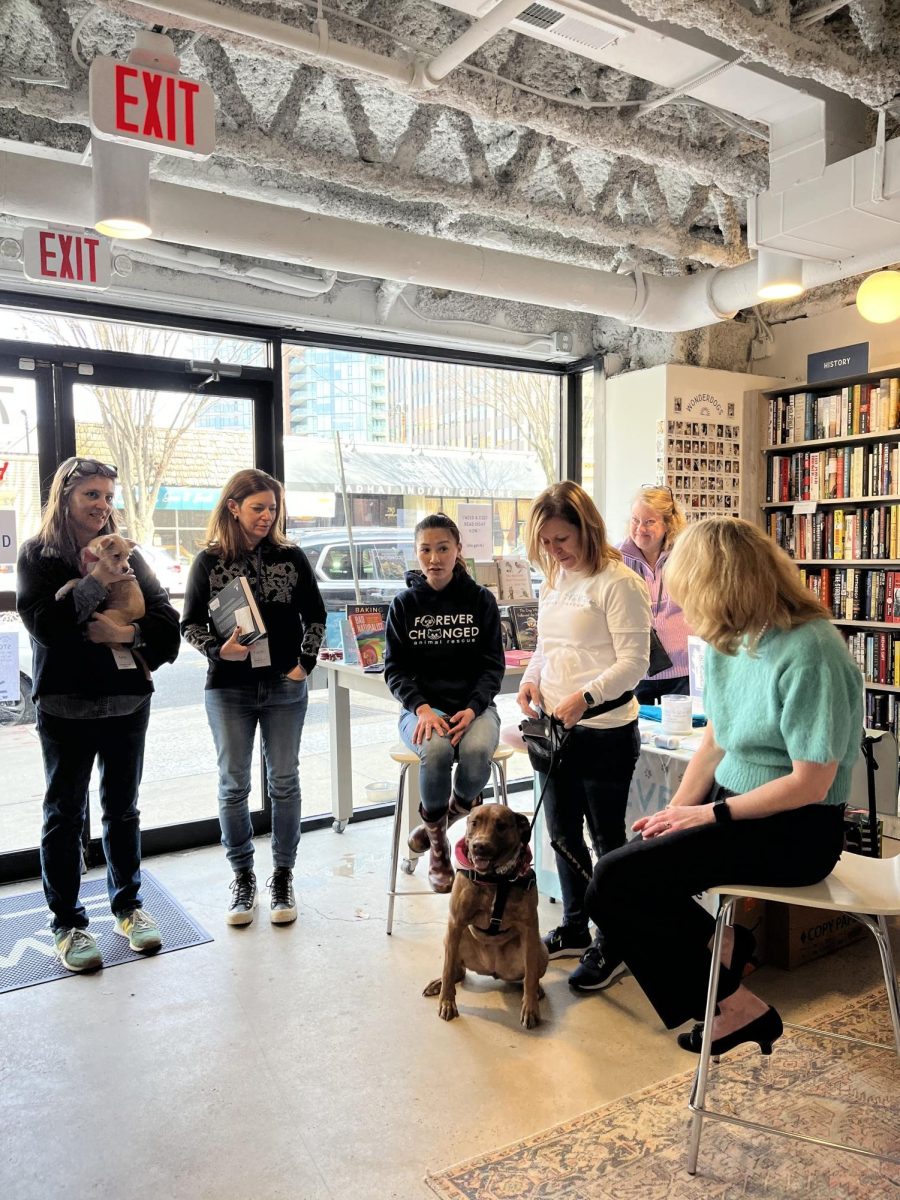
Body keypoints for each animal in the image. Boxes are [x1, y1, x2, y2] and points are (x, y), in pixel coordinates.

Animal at [424, 801, 549, 1027]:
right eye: (474, 822)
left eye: (501, 826)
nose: (479, 846)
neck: (495, 879)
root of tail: (492, 969)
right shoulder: (456, 922)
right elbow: (447, 969)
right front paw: (447, 1002)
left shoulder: (530, 927)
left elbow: (530, 975)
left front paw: (530, 1007)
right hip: (451, 939)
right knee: (455, 970)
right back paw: (439, 982)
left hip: (541, 950)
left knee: (529, 975)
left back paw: (536, 990)